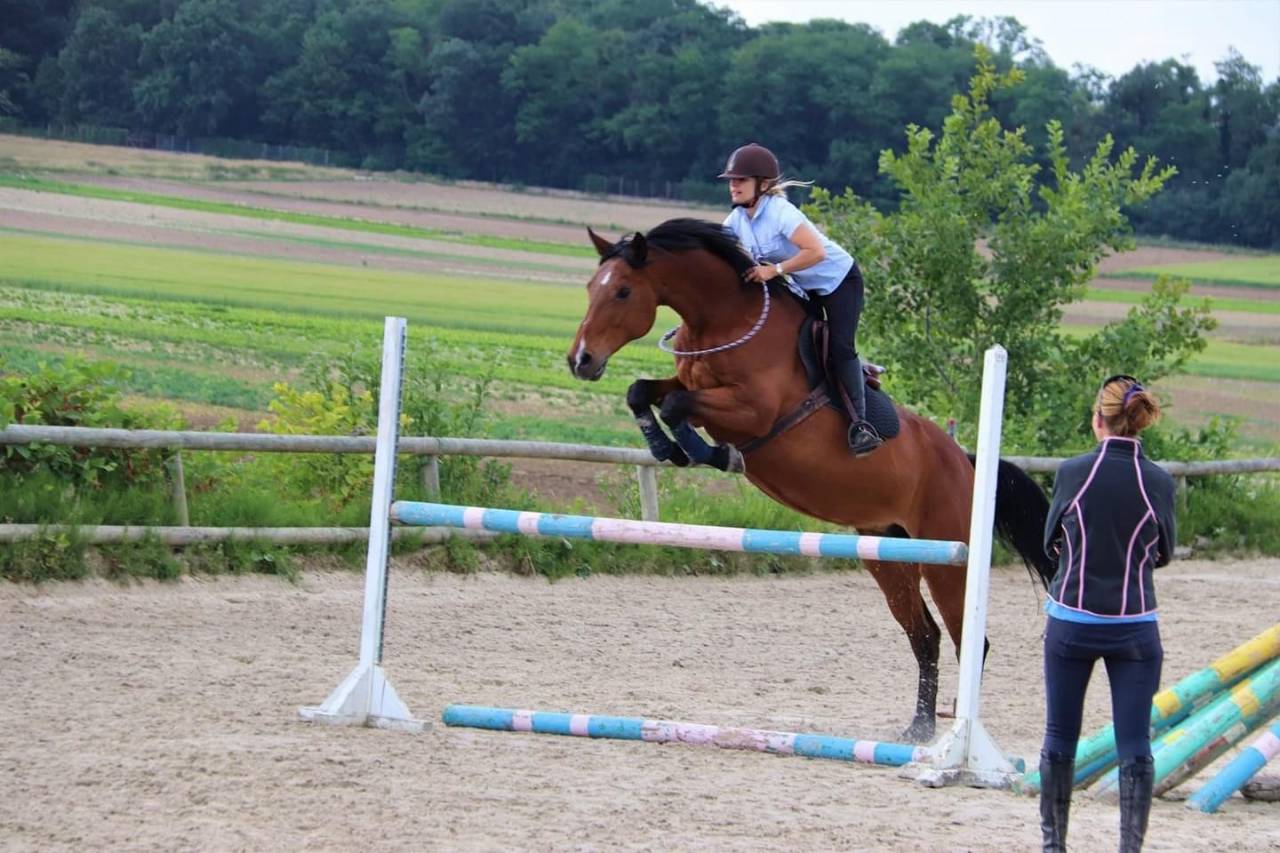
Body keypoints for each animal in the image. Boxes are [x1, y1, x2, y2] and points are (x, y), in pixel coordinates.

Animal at [566, 217, 1055, 742]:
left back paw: (951, 732)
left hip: (947, 556)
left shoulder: (753, 411)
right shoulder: (692, 387)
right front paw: (665, 448)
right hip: (886, 550)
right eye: (590, 288)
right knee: (924, 634)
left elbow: (679, 406)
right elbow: (644, 392)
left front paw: (712, 454)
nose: (581, 360)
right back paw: (918, 729)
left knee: (970, 640)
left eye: (622, 291)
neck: (724, 322)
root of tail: (965, 461)